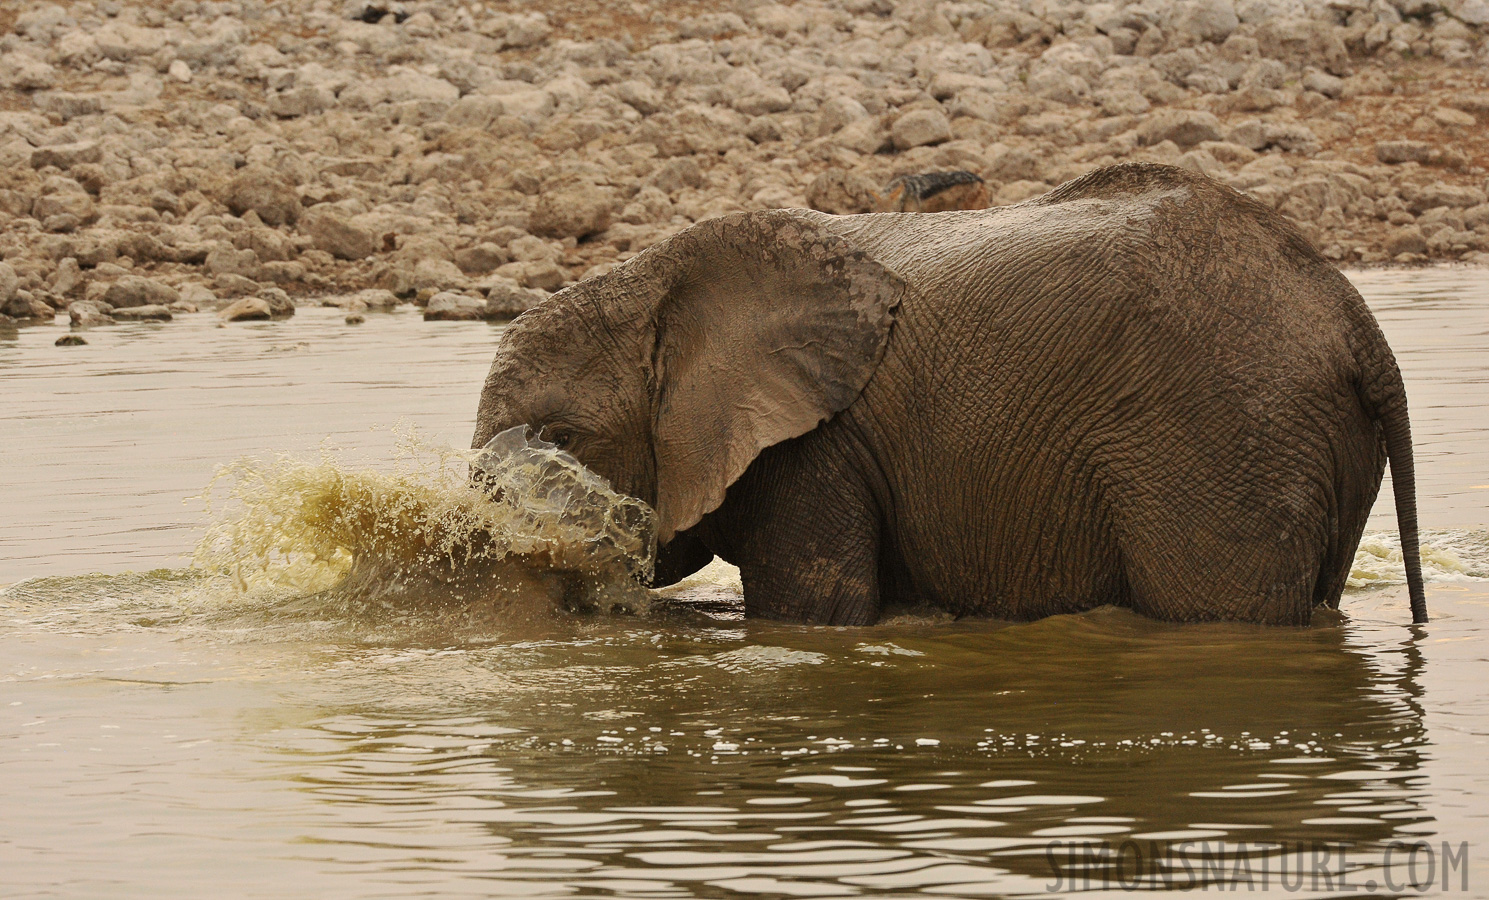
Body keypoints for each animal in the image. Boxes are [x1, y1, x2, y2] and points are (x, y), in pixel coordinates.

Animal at [470, 163, 1423, 625]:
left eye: (561, 438)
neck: (653, 276)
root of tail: (1349, 314)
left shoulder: (815, 450)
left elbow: (814, 612)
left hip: (1224, 438)